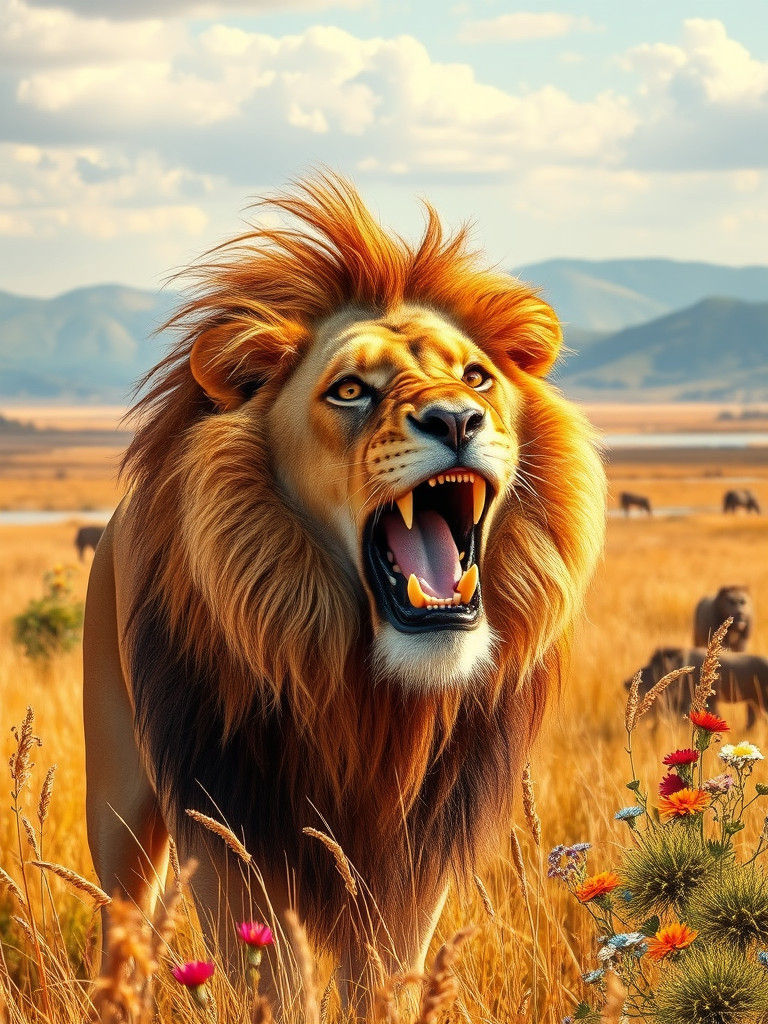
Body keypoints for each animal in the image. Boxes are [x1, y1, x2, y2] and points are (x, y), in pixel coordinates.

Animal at [83, 175, 605, 1004]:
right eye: (352, 389)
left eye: (476, 377)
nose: (457, 419)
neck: (364, 697)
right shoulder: (235, 841)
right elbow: (272, 981)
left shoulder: (412, 865)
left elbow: (389, 983)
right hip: (119, 805)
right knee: (122, 931)